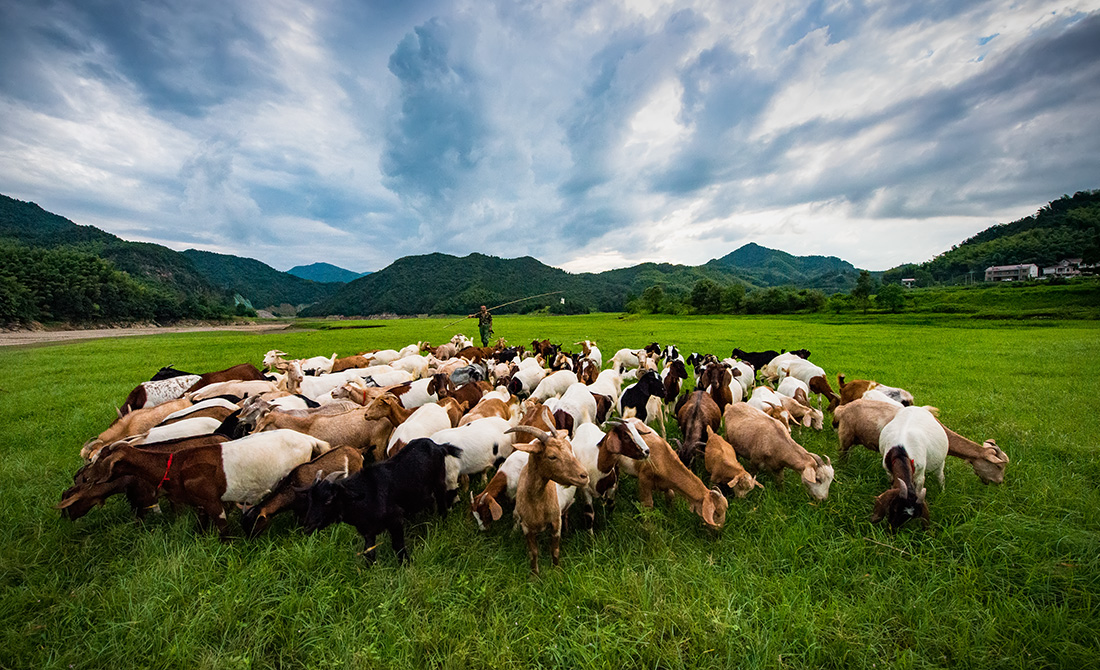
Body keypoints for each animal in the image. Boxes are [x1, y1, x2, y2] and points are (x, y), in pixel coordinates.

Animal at [299, 435, 457, 561]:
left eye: (328, 500)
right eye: (310, 500)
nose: (307, 526)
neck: (365, 496)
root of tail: (438, 446)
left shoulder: (396, 520)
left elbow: (398, 546)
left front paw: (406, 564)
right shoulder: (368, 530)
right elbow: (369, 553)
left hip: (439, 483)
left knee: (441, 503)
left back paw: (442, 523)